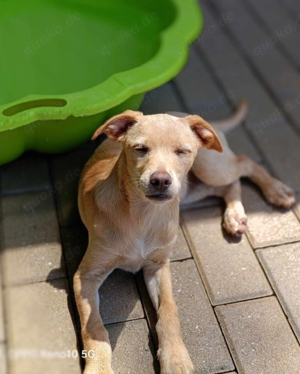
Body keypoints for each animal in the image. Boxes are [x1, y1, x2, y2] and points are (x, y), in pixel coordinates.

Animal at [74, 101, 294, 372]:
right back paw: (235, 216)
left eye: (182, 151)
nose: (160, 181)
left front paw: (175, 358)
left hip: (209, 167)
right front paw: (99, 367)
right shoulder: (86, 276)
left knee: (245, 163)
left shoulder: (159, 265)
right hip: (191, 190)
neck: (144, 215)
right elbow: (93, 326)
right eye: (140, 149)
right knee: (229, 186)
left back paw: (276, 190)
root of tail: (186, 115)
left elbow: (169, 310)